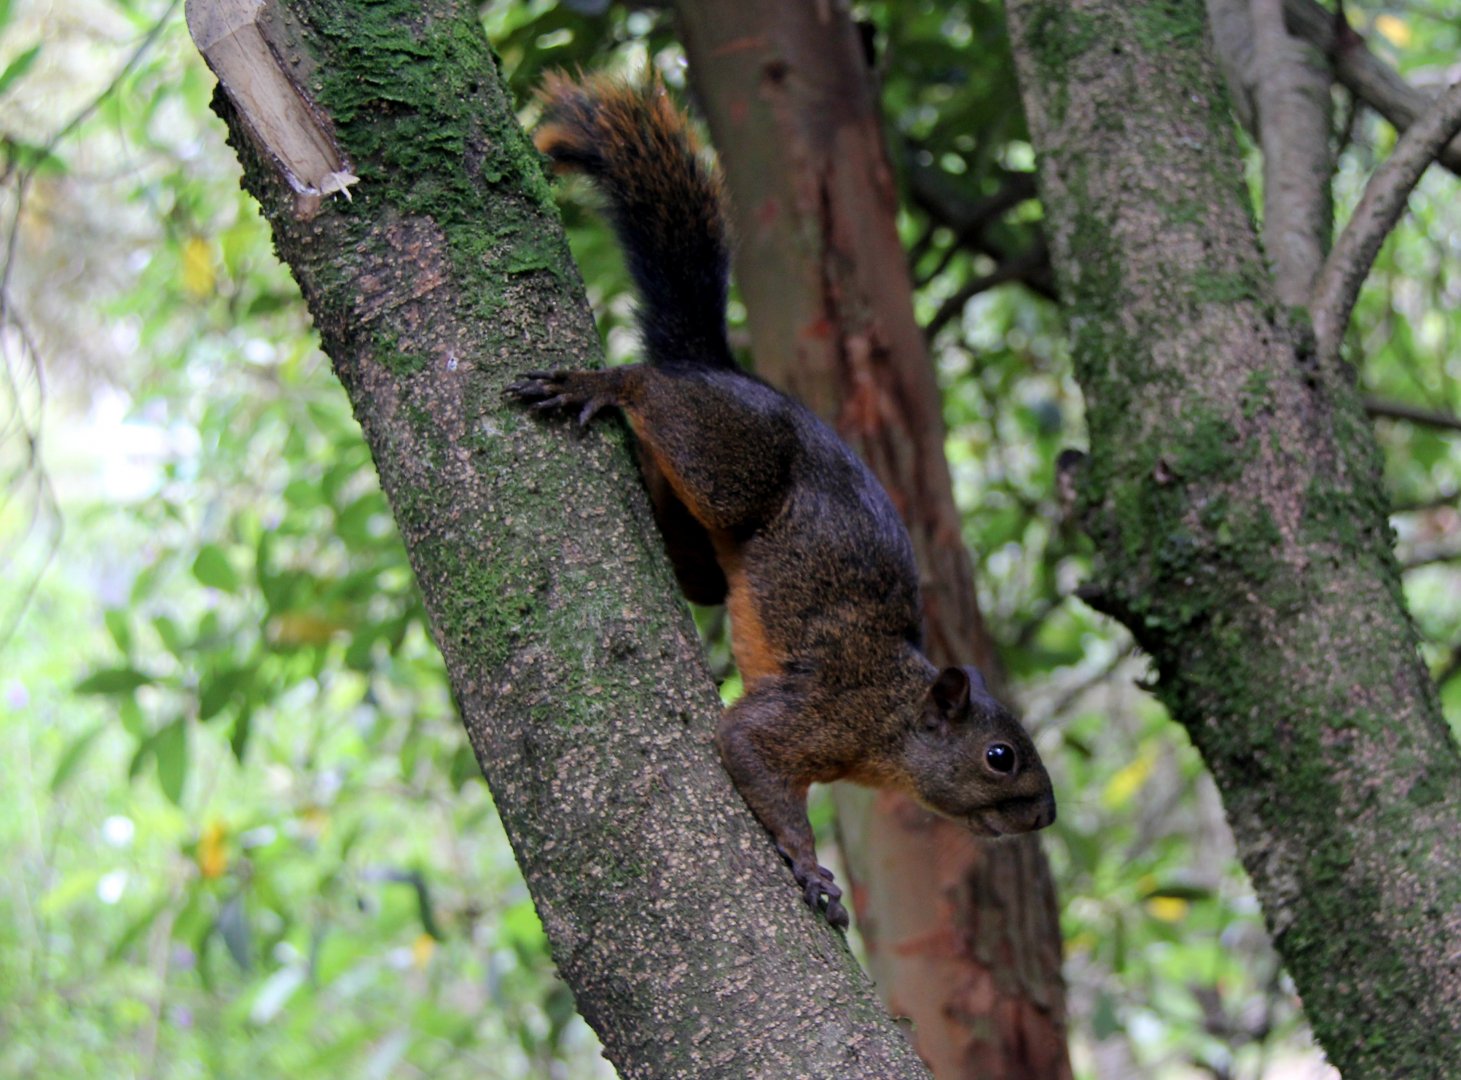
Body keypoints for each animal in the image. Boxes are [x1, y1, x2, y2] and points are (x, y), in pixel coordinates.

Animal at [508, 73, 1055, 930]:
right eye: (1000, 758)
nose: (1045, 815)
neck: (894, 713)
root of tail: (719, 368)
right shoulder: (820, 711)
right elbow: (742, 745)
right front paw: (810, 868)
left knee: (696, 568)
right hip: (729, 466)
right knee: (652, 387)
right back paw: (606, 383)